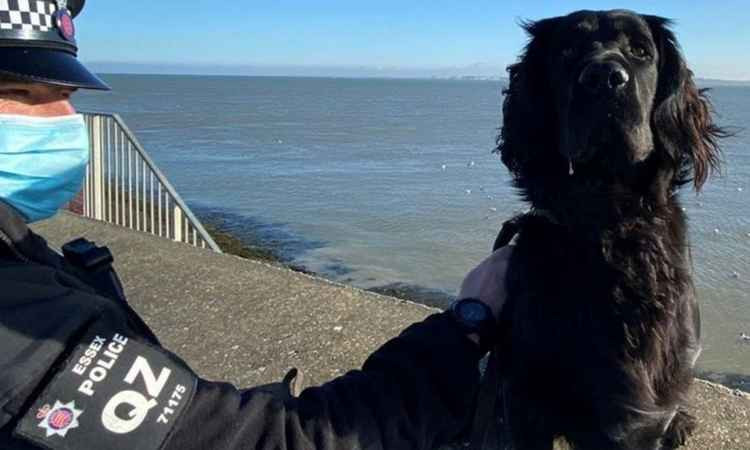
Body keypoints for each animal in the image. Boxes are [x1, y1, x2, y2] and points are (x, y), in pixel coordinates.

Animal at [496, 7, 724, 450]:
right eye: (566, 51)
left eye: (640, 51)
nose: (603, 78)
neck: (611, 223)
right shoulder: (528, 398)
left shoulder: (649, 409)